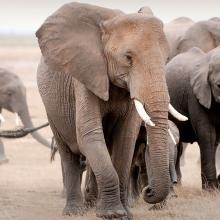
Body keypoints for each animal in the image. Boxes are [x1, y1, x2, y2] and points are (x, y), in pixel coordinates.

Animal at [35, 1, 186, 218]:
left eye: (167, 59)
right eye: (128, 58)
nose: (148, 191)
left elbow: (125, 138)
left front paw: (125, 214)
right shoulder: (85, 74)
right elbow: (89, 133)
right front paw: (113, 214)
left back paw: (92, 204)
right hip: (51, 108)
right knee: (68, 153)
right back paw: (75, 211)